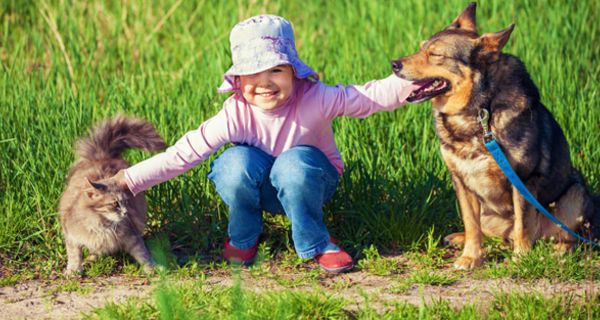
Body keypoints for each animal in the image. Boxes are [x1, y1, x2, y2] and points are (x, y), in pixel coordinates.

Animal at [59, 115, 166, 276]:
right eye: (115, 204)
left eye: (126, 202)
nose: (126, 212)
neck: (101, 224)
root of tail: (102, 155)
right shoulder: (71, 235)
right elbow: (74, 255)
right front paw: (73, 270)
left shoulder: (132, 236)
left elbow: (143, 254)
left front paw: (151, 269)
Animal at [392, 3, 596, 270]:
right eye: (420, 47)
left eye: (435, 55)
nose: (394, 64)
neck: (479, 110)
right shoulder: (461, 182)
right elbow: (472, 225)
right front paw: (470, 256)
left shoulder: (522, 180)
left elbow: (522, 225)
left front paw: (521, 259)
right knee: (492, 233)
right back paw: (460, 238)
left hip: (574, 196)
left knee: (569, 237)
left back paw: (557, 250)